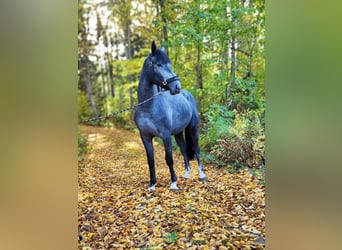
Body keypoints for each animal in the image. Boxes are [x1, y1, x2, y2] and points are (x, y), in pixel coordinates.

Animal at [134, 41, 206, 191]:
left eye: (169, 65)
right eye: (159, 64)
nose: (177, 87)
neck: (148, 107)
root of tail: (187, 94)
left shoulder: (166, 136)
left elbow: (169, 159)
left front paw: (173, 183)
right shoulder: (145, 137)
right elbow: (151, 160)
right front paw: (152, 185)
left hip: (193, 129)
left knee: (196, 149)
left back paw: (202, 175)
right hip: (178, 133)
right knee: (184, 149)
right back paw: (186, 174)